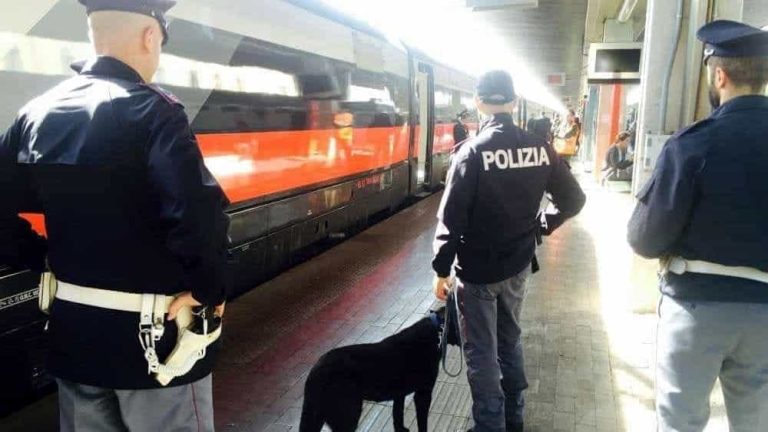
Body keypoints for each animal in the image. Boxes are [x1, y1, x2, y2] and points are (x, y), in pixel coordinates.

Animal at [300, 308, 444, 430]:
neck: (436, 328)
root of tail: (312, 375)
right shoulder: (423, 394)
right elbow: (421, 424)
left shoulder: (399, 394)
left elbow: (397, 416)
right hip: (348, 414)